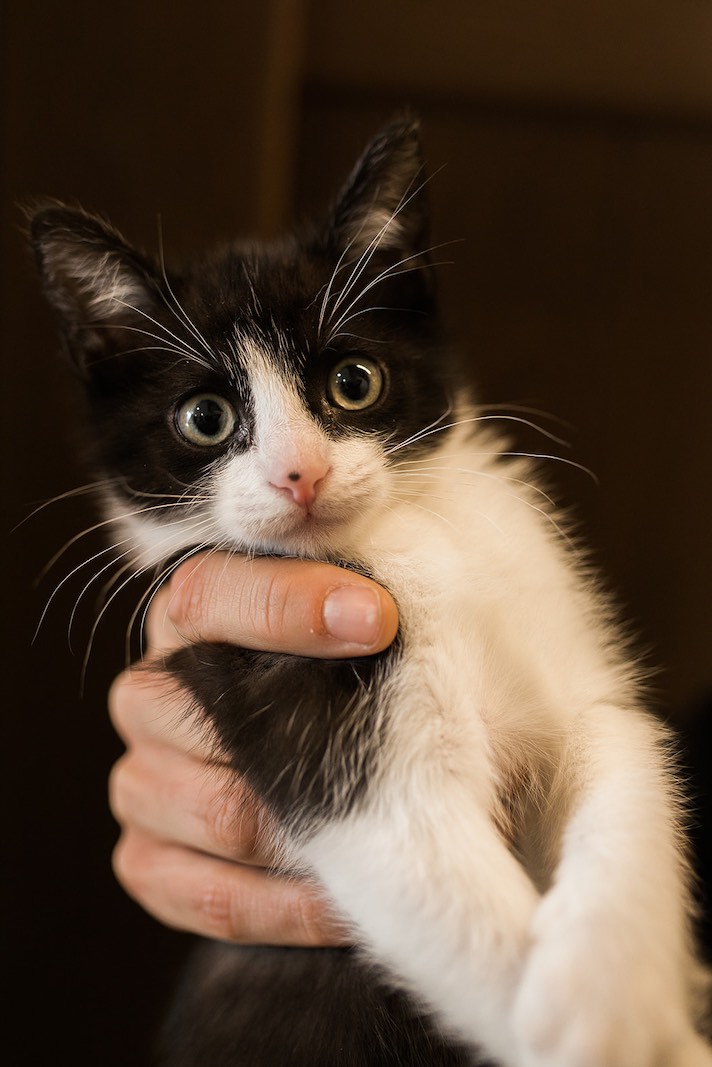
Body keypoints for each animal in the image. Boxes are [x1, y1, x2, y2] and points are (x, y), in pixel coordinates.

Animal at [29, 116, 712, 1067]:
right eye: (205, 418)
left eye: (352, 382)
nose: (300, 473)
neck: (405, 537)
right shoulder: (283, 690)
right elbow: (432, 872)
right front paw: (585, 1029)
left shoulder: (574, 671)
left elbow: (619, 773)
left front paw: (613, 994)